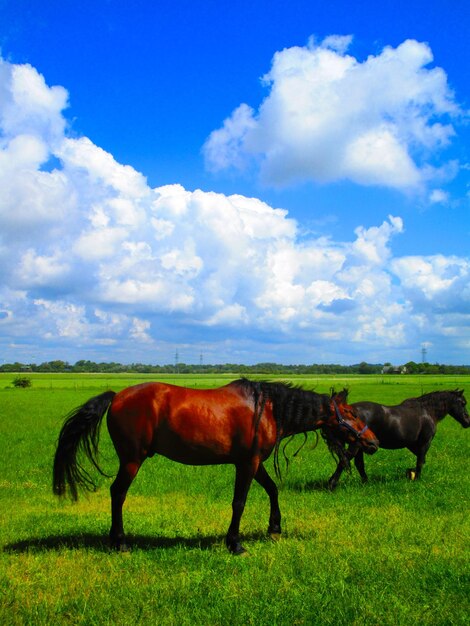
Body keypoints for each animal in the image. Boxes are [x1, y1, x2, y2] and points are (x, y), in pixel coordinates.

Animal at [53, 376, 380, 552]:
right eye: (351, 413)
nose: (373, 443)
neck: (267, 408)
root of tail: (117, 395)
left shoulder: (255, 462)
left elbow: (273, 490)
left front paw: (275, 527)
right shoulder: (246, 464)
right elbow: (240, 502)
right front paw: (234, 543)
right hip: (132, 460)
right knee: (118, 493)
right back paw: (120, 542)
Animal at [324, 388, 468, 490]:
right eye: (463, 403)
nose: (468, 421)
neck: (427, 411)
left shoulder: (412, 444)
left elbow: (419, 460)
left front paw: (410, 474)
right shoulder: (424, 443)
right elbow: (420, 462)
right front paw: (417, 479)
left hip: (361, 445)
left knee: (358, 464)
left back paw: (366, 483)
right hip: (357, 445)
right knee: (345, 461)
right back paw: (332, 484)